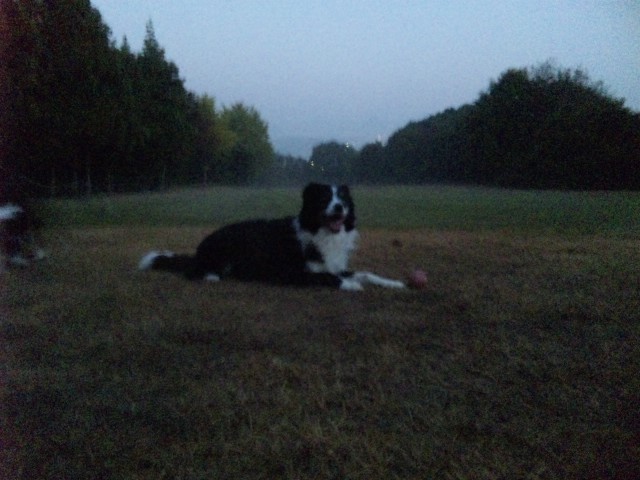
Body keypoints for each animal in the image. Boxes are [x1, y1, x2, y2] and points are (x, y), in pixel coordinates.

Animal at [139, 183, 405, 290]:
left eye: (343, 198)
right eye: (324, 198)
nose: (339, 207)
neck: (321, 233)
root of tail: (200, 248)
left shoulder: (336, 264)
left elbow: (366, 272)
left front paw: (393, 283)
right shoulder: (291, 272)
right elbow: (327, 277)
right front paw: (350, 285)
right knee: (192, 271)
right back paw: (211, 276)